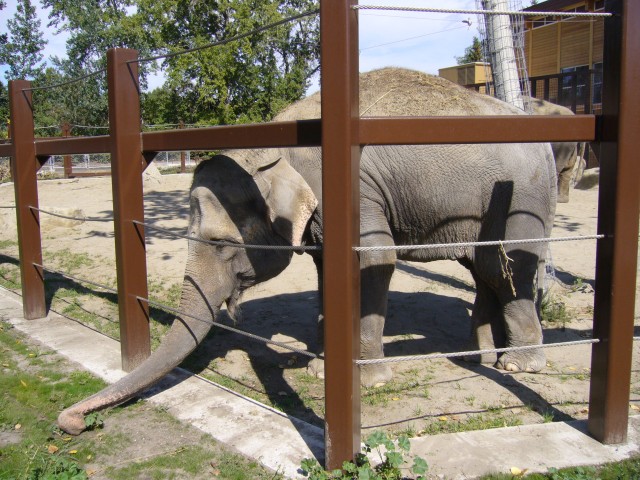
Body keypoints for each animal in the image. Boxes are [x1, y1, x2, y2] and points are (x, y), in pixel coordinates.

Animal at [56, 67, 556, 436]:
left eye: (221, 244)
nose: (71, 422)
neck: (279, 146)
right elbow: (325, 266)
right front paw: (320, 366)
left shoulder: (354, 190)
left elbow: (374, 259)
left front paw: (361, 379)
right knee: (485, 266)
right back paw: (477, 357)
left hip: (523, 197)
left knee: (508, 264)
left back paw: (518, 365)